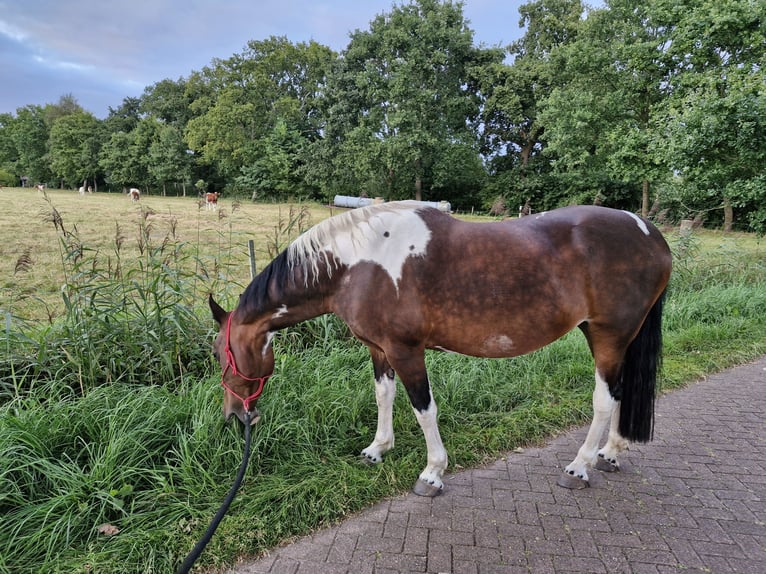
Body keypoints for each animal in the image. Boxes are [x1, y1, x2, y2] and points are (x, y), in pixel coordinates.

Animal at [209, 201, 672, 496]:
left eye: (217, 353)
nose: (235, 417)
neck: (356, 265)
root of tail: (651, 234)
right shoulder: (380, 350)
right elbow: (384, 395)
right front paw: (378, 449)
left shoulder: (406, 350)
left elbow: (423, 408)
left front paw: (432, 472)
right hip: (619, 339)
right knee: (620, 394)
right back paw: (610, 453)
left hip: (608, 335)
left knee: (604, 399)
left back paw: (580, 466)